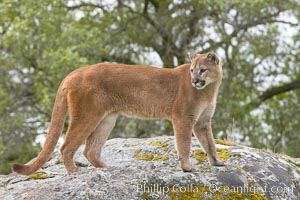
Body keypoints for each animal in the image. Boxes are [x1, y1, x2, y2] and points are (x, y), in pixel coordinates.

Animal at [13, 52, 225, 175]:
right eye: (191, 70)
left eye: (202, 70)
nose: (195, 81)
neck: (209, 89)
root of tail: (74, 72)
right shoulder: (183, 118)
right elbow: (185, 144)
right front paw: (187, 167)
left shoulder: (202, 121)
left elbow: (210, 143)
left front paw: (217, 163)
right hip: (87, 115)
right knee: (66, 147)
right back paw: (74, 171)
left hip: (106, 119)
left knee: (90, 149)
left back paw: (106, 168)